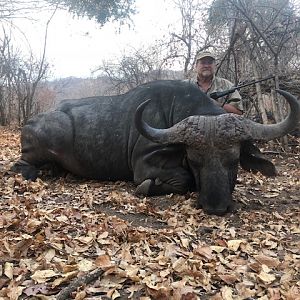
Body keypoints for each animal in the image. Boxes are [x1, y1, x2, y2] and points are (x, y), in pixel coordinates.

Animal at [12, 81, 300, 214]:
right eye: (194, 160)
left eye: (234, 159)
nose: (216, 207)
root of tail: (31, 122)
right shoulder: (144, 166)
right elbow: (179, 180)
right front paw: (149, 187)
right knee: (21, 165)